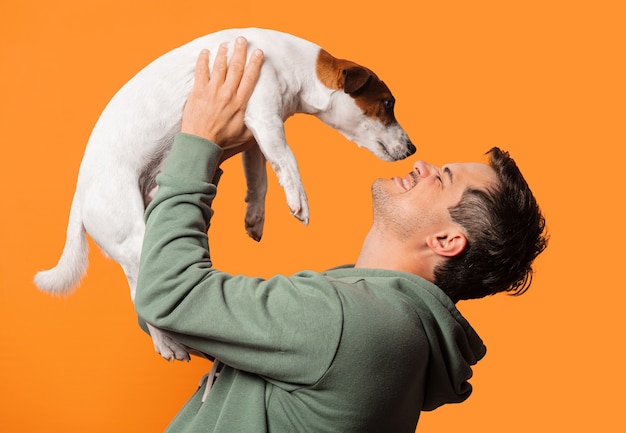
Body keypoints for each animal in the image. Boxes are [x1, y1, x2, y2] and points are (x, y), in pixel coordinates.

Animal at [35, 27, 414, 362]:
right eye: (387, 104)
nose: (412, 148)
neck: (292, 63)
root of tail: (80, 194)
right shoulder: (264, 117)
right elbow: (288, 161)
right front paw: (299, 201)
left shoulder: (255, 136)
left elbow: (260, 178)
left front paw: (255, 218)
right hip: (133, 237)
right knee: (141, 295)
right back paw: (168, 344)